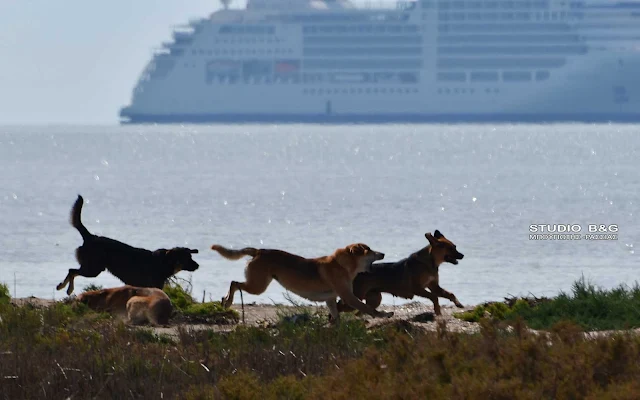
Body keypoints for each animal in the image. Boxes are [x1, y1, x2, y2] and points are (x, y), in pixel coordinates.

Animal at [56, 195, 199, 296]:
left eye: (191, 256)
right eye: (187, 258)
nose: (197, 265)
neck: (164, 262)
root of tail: (90, 237)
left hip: (93, 267)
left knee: (72, 271)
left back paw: (64, 287)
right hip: (93, 268)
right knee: (72, 271)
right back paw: (66, 288)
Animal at [210, 242, 392, 324]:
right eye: (369, 250)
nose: (383, 253)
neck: (342, 265)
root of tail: (259, 251)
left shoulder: (330, 299)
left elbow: (336, 315)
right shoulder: (348, 296)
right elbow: (368, 308)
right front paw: (384, 315)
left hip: (257, 284)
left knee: (234, 283)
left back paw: (224, 301)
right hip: (258, 286)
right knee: (234, 283)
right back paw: (227, 301)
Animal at [336, 231, 464, 318]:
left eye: (455, 246)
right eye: (451, 248)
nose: (462, 255)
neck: (430, 262)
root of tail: (354, 274)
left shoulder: (434, 286)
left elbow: (450, 294)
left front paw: (458, 304)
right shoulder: (417, 288)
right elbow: (434, 297)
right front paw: (437, 310)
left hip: (374, 298)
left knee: (361, 311)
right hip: (356, 296)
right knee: (340, 306)